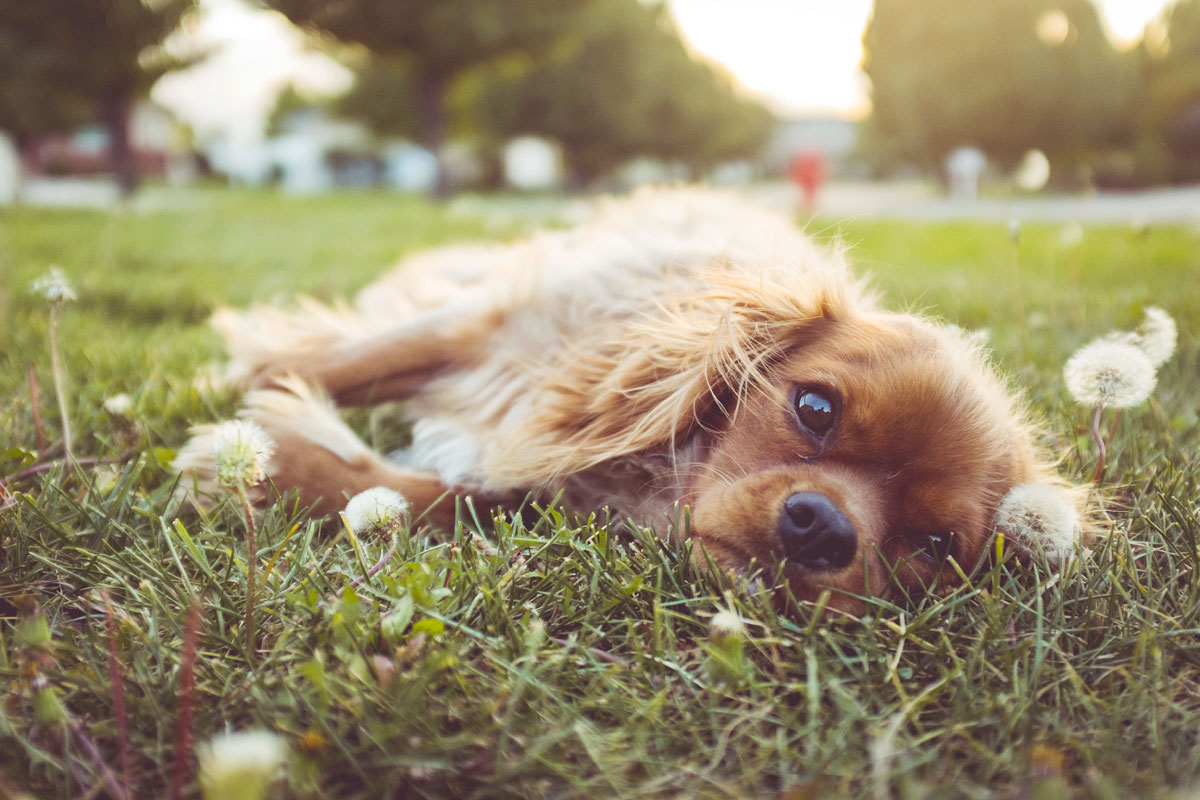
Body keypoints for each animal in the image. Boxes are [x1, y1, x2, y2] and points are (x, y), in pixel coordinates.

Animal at [177, 188, 1089, 614]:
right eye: (815, 409)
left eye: (931, 545)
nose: (824, 528)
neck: (658, 469)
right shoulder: (489, 329)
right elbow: (346, 359)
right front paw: (251, 409)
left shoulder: (530, 486)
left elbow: (432, 499)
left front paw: (273, 467)